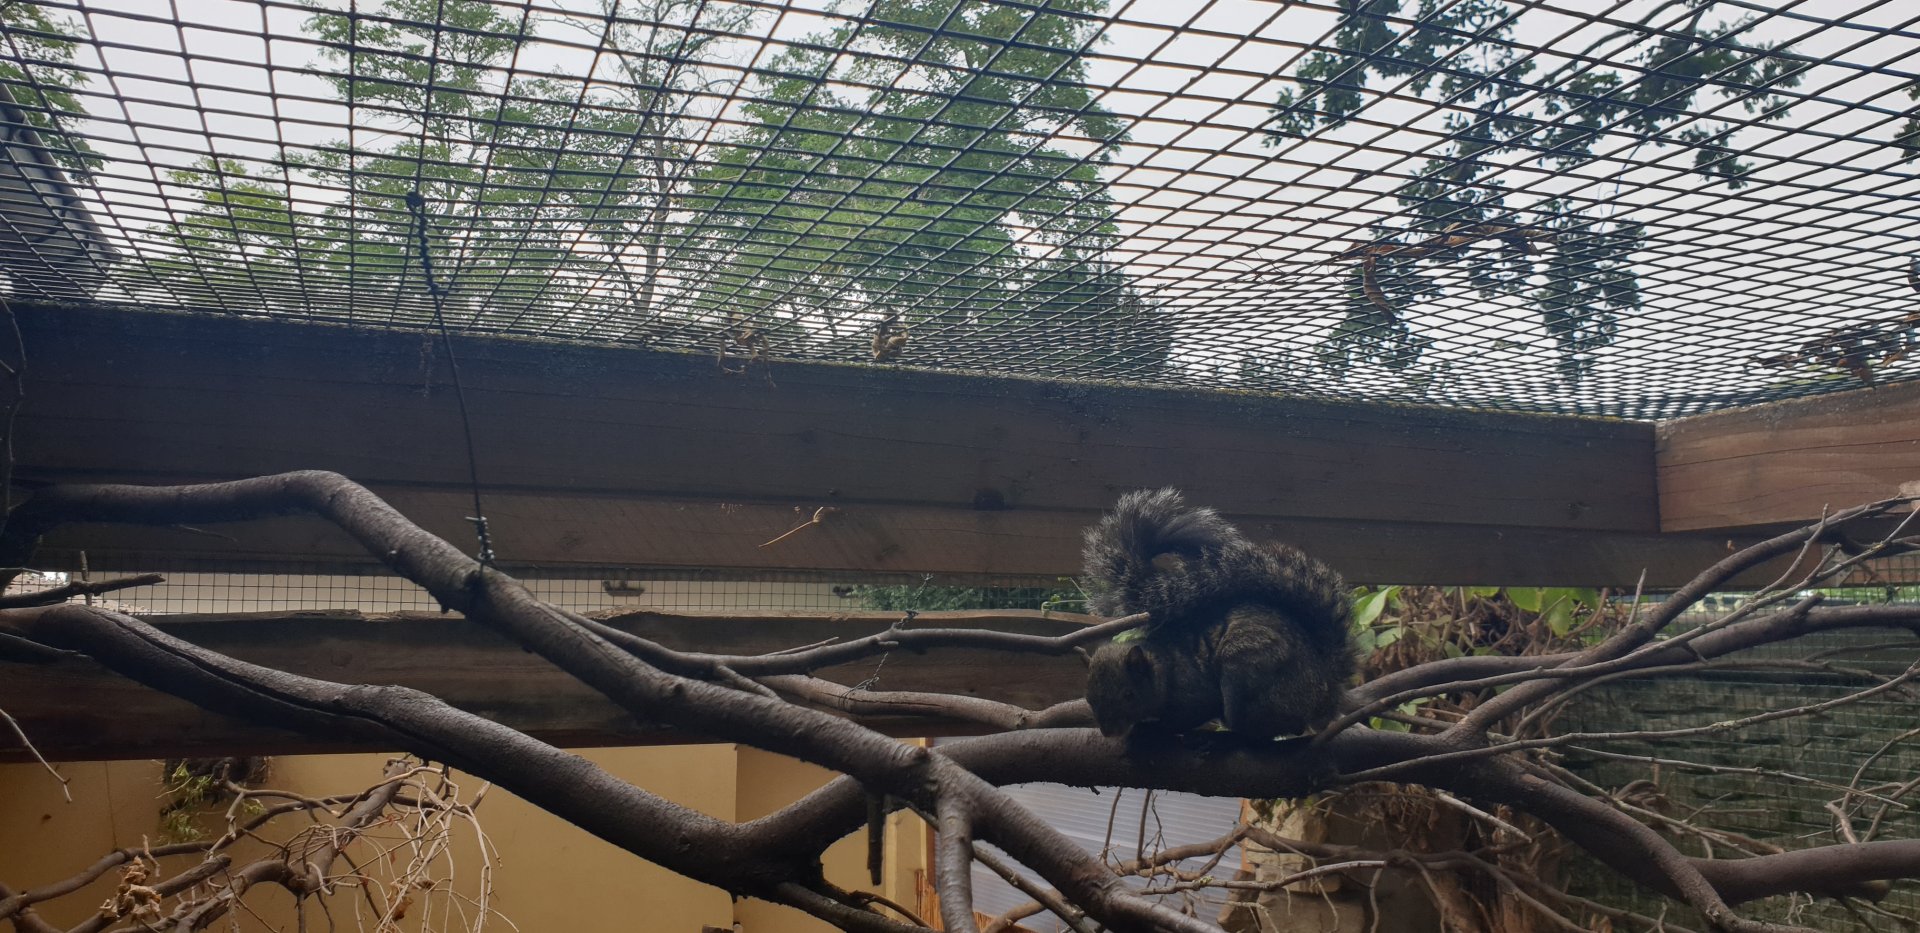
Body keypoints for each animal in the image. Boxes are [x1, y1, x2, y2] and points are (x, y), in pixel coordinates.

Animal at [1081, 488, 1354, 739]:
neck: (1163, 665)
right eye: (1090, 698)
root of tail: (1325, 691)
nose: (1109, 732)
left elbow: (1189, 714)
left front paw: (1154, 728)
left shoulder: (1195, 693)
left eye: (1129, 694)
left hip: (1244, 670)